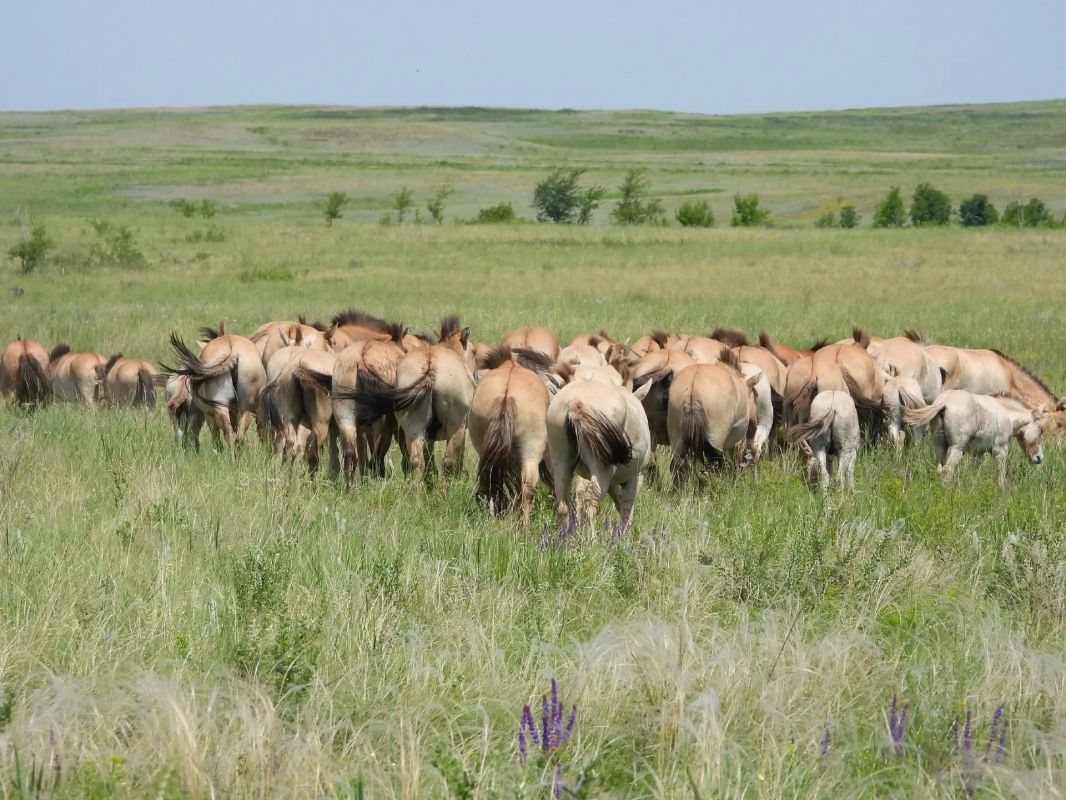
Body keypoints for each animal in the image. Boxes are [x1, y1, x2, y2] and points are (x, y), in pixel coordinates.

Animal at [546, 377, 653, 533]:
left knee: (563, 504)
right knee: (591, 501)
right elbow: (627, 505)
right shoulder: (634, 477)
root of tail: (575, 402)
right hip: (602, 469)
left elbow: (619, 500)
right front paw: (625, 533)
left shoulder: (613, 481)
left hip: (561, 465)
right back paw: (592, 538)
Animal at [903, 390, 1049, 486]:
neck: (1006, 415)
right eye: (1040, 431)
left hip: (940, 445)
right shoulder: (1001, 449)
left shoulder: (978, 453)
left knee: (939, 468)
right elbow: (1001, 473)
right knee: (948, 469)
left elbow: (974, 470)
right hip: (957, 447)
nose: (1040, 458)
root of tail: (944, 403)